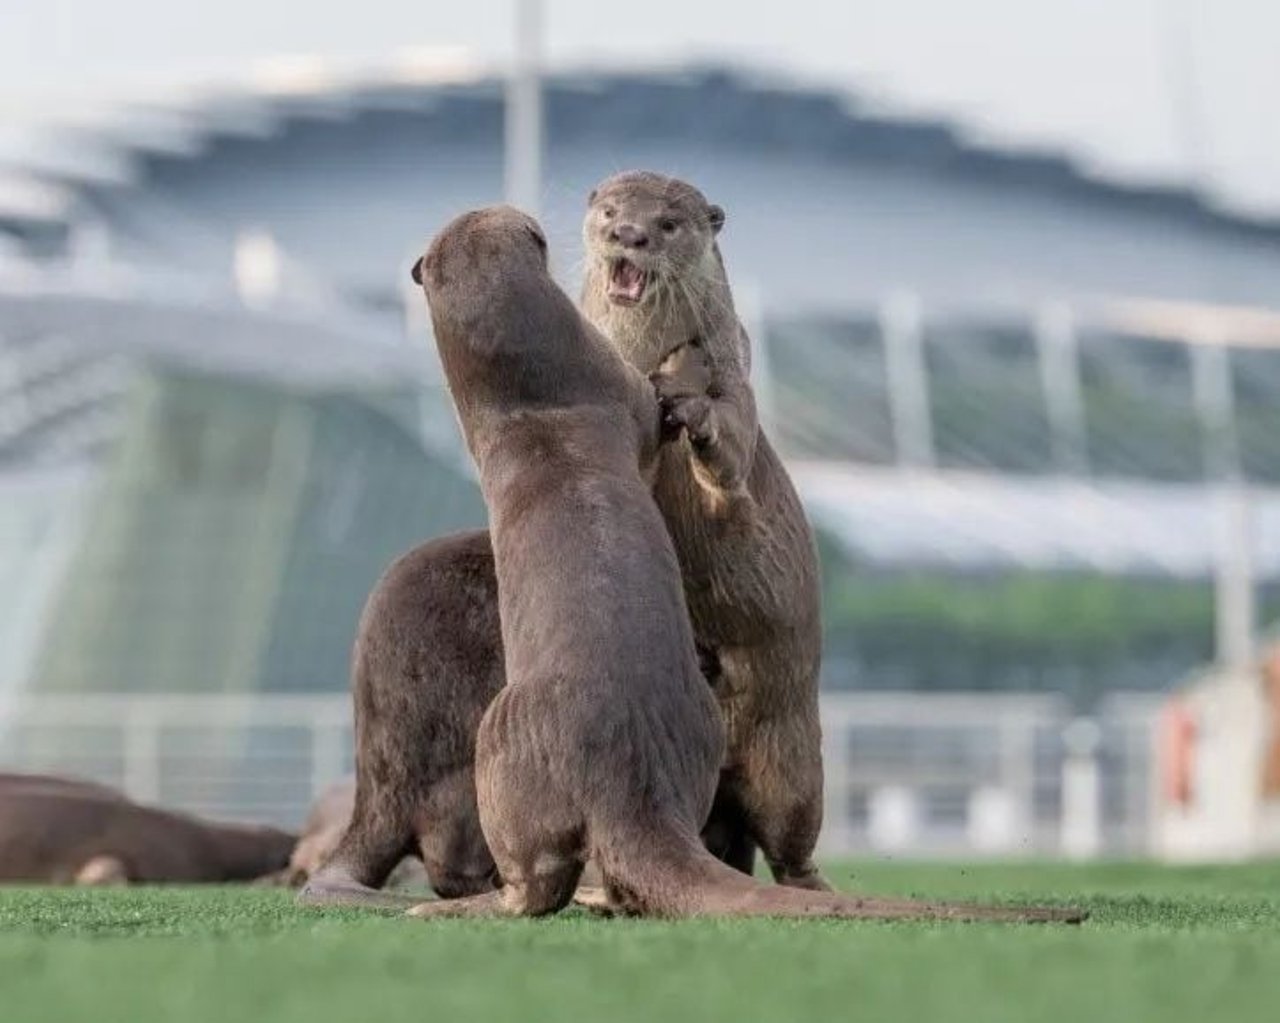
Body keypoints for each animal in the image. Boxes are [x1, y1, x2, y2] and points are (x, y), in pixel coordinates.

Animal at [396, 203, 1080, 921]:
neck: (532, 405)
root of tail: (625, 783)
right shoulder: (620, 398)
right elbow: (655, 408)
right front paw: (684, 358)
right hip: (506, 740)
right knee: (538, 885)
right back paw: (451, 905)